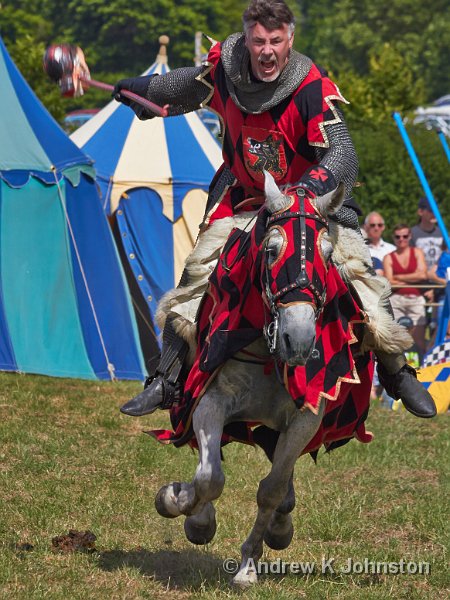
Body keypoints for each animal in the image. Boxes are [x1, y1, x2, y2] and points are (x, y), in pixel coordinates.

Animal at [148, 173, 372, 584]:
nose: (298, 339)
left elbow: (271, 490)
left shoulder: (304, 420)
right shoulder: (210, 402)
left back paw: (279, 527)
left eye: (328, 255)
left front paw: (249, 563)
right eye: (270, 251)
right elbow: (209, 478)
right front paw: (179, 505)